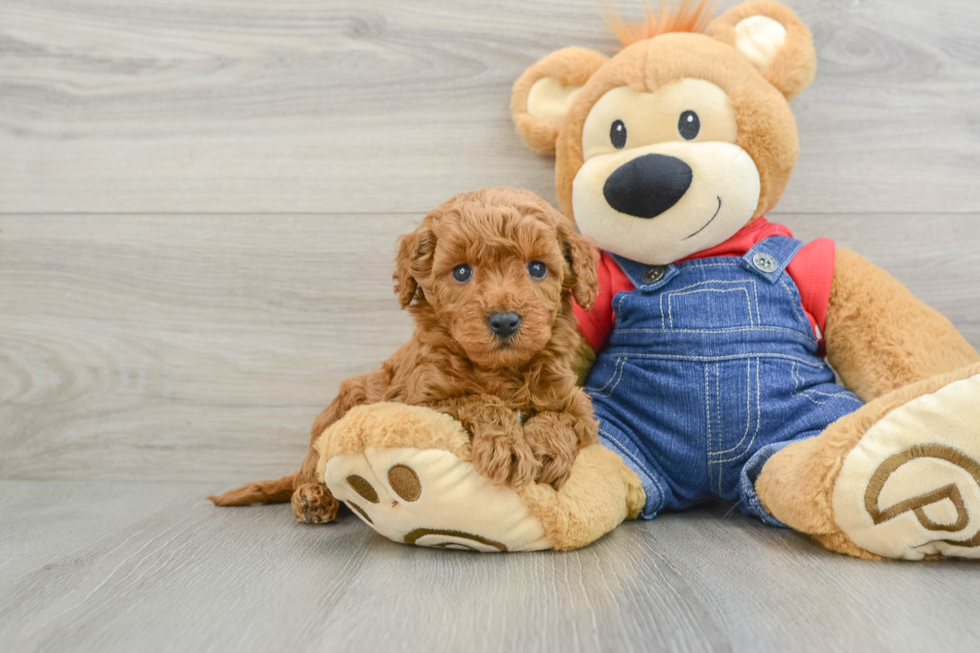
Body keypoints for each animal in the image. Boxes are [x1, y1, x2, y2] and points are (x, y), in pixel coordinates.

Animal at [211, 186, 600, 524]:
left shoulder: (574, 401)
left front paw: (546, 450)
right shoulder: (418, 400)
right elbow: (477, 400)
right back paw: (312, 498)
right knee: (312, 468)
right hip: (338, 412)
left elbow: (563, 418)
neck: (501, 370)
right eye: (462, 271)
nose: (504, 321)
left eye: (537, 268)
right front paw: (509, 447)